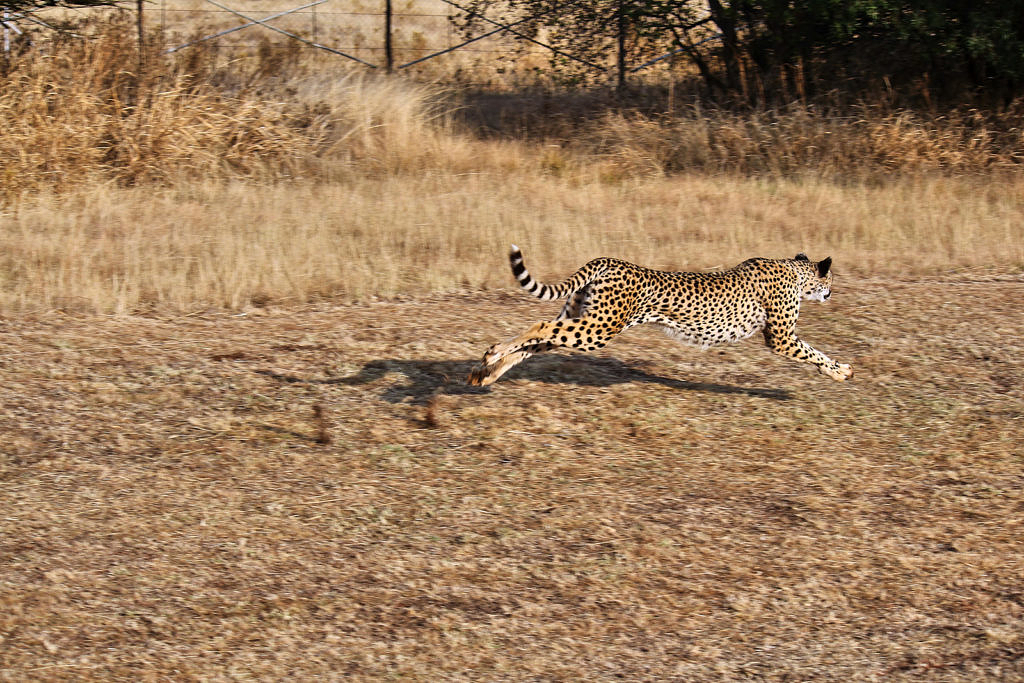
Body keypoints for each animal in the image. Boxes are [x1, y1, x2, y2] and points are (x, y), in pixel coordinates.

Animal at [468, 244, 851, 385]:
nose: (831, 292)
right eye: (831, 279)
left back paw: (485, 371)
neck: (795, 271)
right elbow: (813, 352)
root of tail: (608, 259)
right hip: (598, 330)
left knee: (536, 341)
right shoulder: (781, 338)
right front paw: (840, 371)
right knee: (541, 325)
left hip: (584, 320)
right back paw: (491, 356)